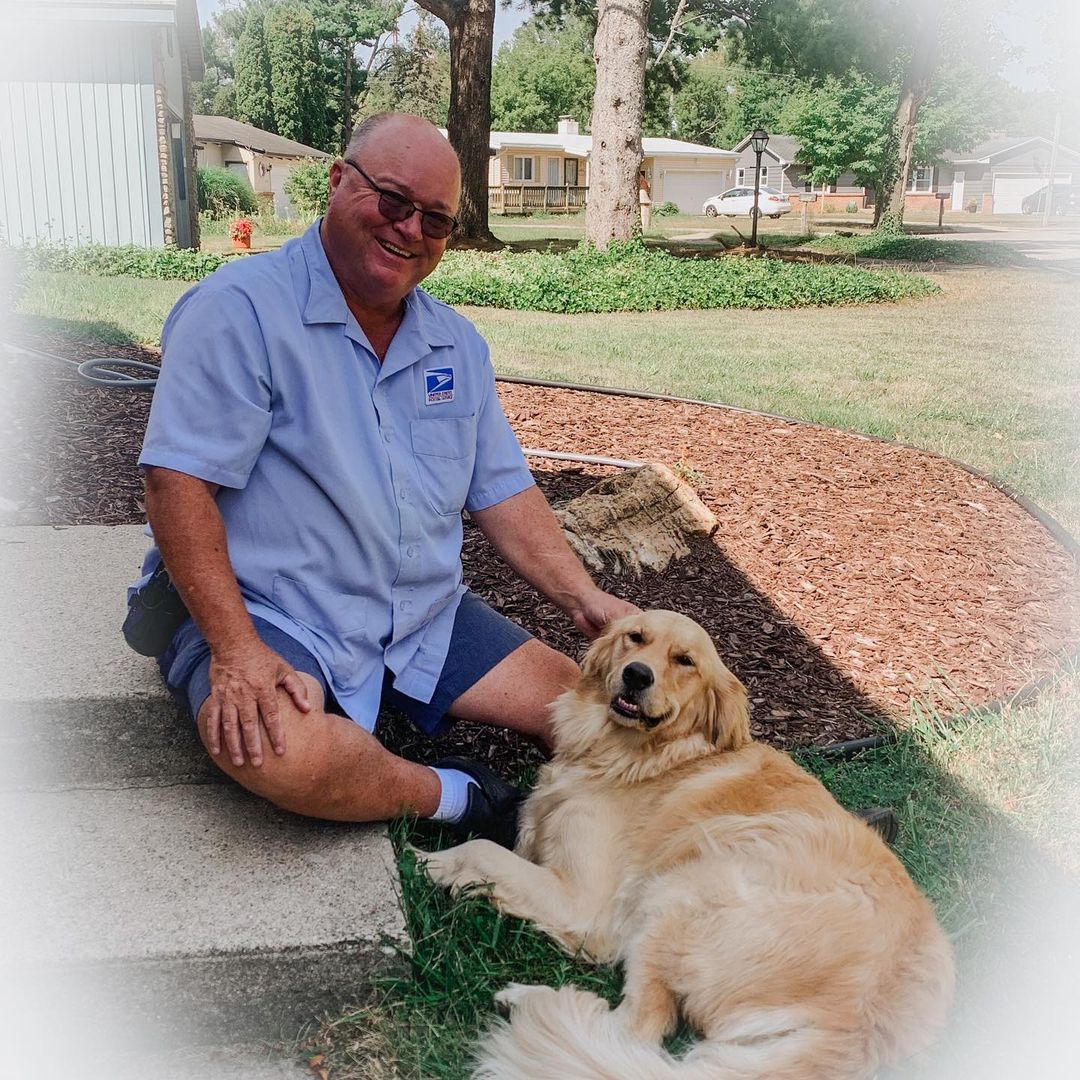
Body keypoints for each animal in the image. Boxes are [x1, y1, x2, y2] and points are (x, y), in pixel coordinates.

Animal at [416, 613, 959, 1075]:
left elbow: (482, 851)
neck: (644, 756)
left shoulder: (584, 903)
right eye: (635, 637)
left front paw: (426, 862)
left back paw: (524, 1000)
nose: (636, 675)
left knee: (636, 1031)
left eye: (685, 661)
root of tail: (863, 1023)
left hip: (681, 891)